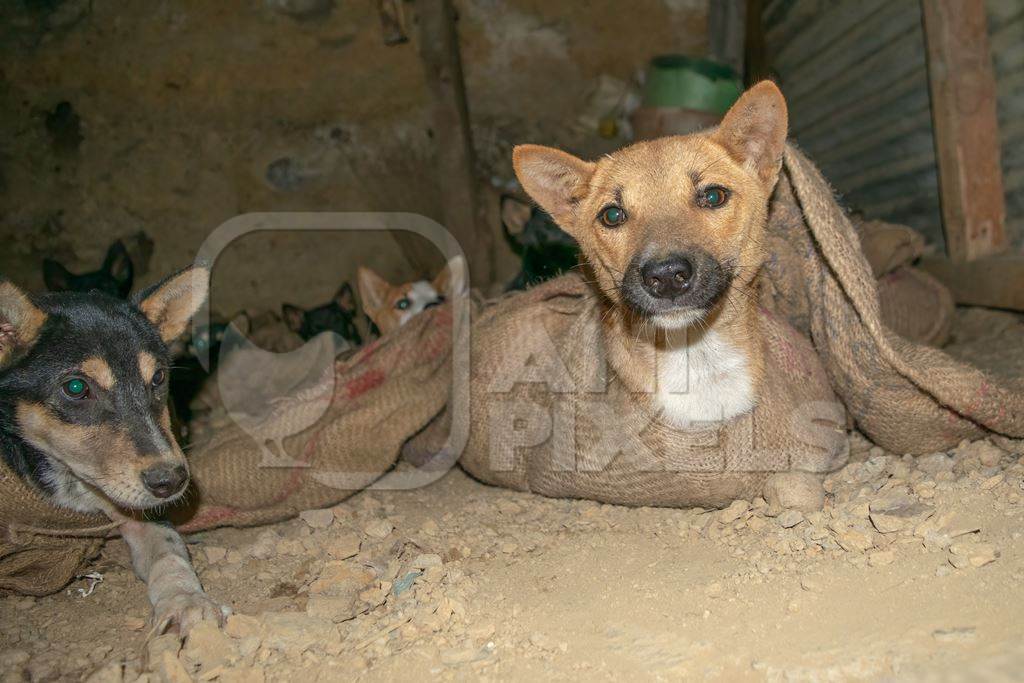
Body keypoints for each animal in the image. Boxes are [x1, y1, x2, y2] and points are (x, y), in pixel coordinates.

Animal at [0, 266, 226, 634]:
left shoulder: (142, 512)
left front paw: (186, 599)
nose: (171, 481)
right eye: (76, 387)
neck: (68, 482)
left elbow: (169, 552)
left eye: (158, 377)